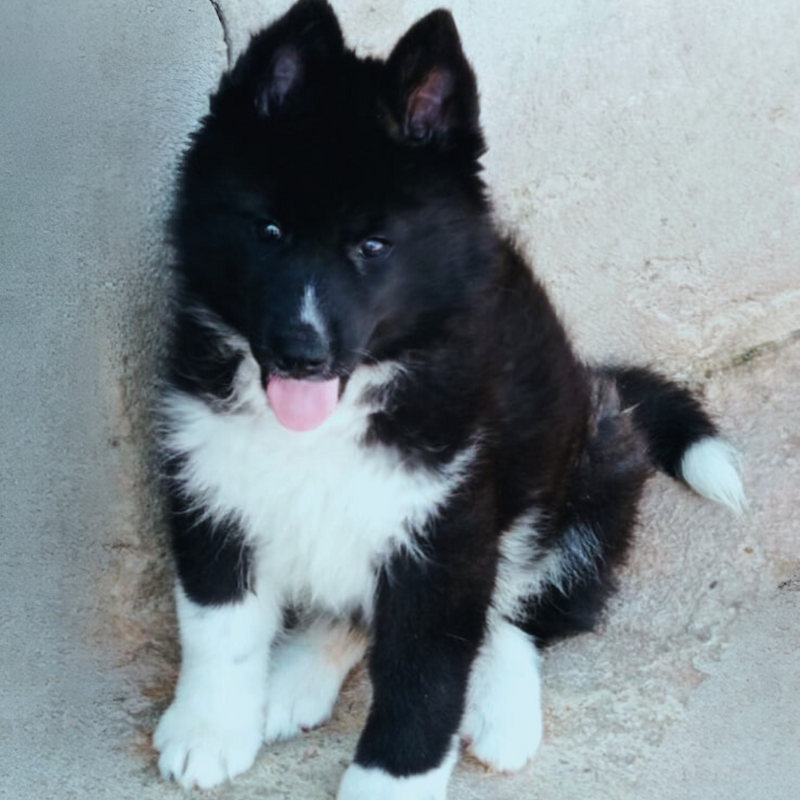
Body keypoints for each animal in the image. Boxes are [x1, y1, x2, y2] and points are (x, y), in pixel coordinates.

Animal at [153, 3, 748, 796]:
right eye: (268, 231)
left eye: (373, 246)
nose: (301, 355)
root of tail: (602, 383)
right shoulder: (210, 487)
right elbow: (218, 626)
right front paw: (210, 729)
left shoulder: (446, 530)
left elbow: (426, 674)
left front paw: (388, 783)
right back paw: (291, 681)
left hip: (589, 474)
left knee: (517, 616)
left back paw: (502, 711)